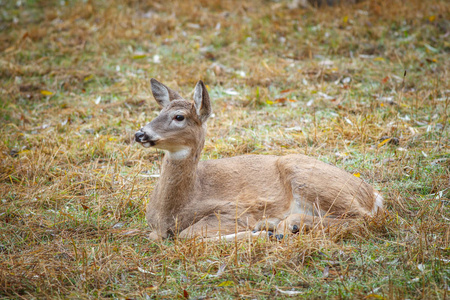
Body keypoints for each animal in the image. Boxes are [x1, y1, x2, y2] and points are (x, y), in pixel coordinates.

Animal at [134, 79, 384, 241]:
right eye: (159, 113)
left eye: (179, 117)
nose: (140, 134)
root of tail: (372, 195)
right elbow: (156, 237)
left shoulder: (235, 210)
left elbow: (188, 235)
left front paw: (259, 233)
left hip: (310, 178)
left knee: (362, 218)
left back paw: (285, 225)